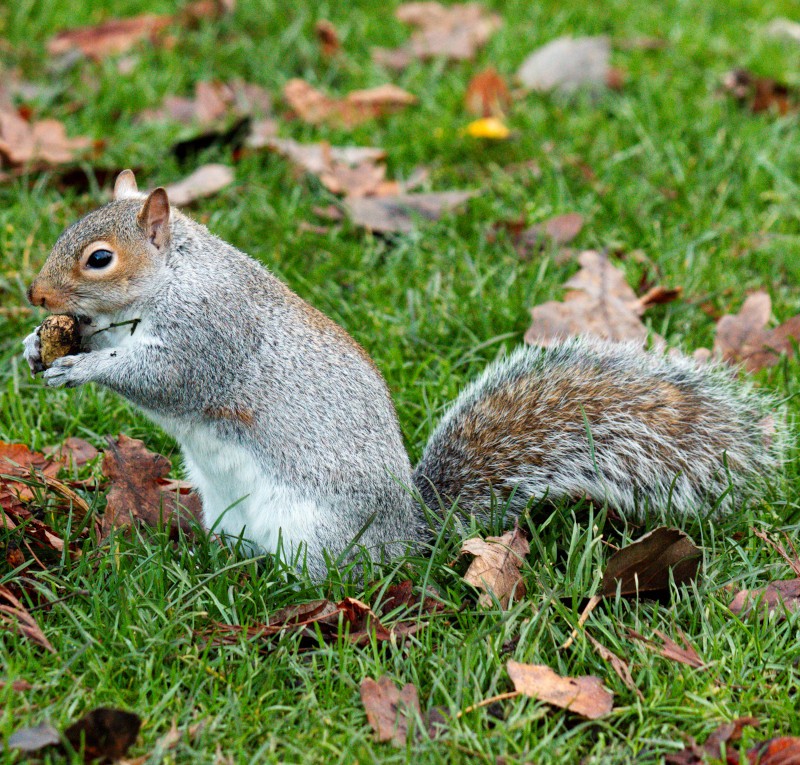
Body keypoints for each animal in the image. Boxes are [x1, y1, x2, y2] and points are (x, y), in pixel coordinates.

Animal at [21, 173, 780, 576]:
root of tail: (408, 537)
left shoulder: (212, 334)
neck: (174, 279)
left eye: (98, 258)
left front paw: (81, 366)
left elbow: (165, 378)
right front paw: (35, 347)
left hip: (317, 531)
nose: (34, 295)